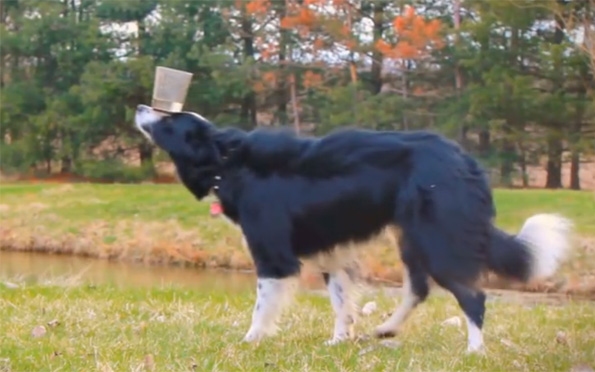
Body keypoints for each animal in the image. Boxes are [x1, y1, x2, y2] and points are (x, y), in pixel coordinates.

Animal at [135, 104, 572, 352]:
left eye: (171, 119)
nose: (141, 106)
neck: (226, 161)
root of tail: (465, 160)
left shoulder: (273, 255)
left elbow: (263, 305)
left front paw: (249, 341)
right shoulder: (332, 253)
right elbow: (342, 301)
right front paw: (338, 341)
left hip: (436, 238)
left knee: (472, 296)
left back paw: (475, 351)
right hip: (411, 236)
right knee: (418, 288)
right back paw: (386, 330)